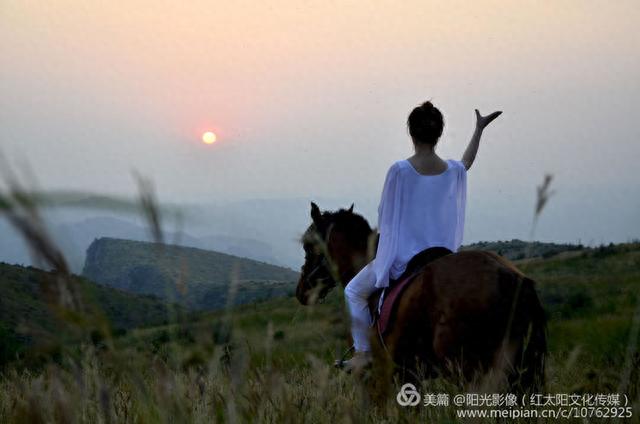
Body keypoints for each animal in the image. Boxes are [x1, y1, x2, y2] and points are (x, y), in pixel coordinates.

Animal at [298, 202, 548, 394]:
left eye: (308, 246)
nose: (302, 291)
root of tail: (507, 276)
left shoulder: (384, 375)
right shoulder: (410, 375)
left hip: (469, 370)